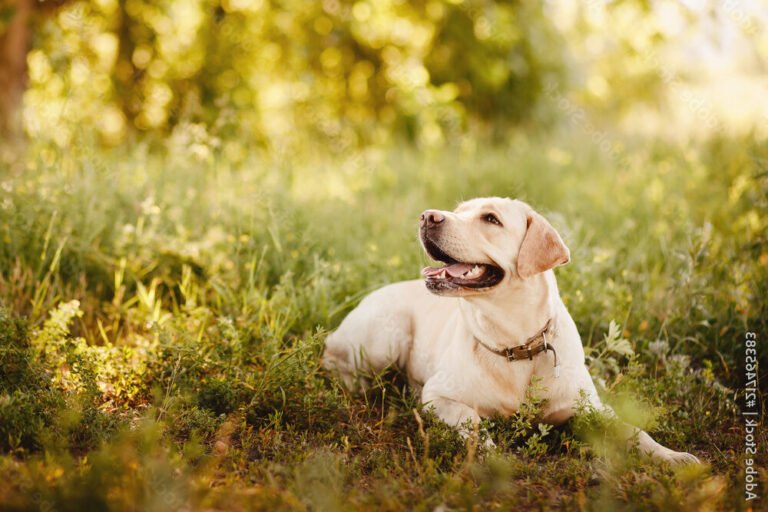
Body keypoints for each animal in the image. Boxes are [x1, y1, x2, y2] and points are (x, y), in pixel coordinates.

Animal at [324, 197, 704, 464]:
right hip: (384, 337)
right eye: (459, 210)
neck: (515, 343)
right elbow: (471, 419)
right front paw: (489, 453)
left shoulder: (591, 407)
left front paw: (673, 457)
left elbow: (635, 432)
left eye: (491, 219)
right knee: (336, 362)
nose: (427, 216)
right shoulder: (438, 394)